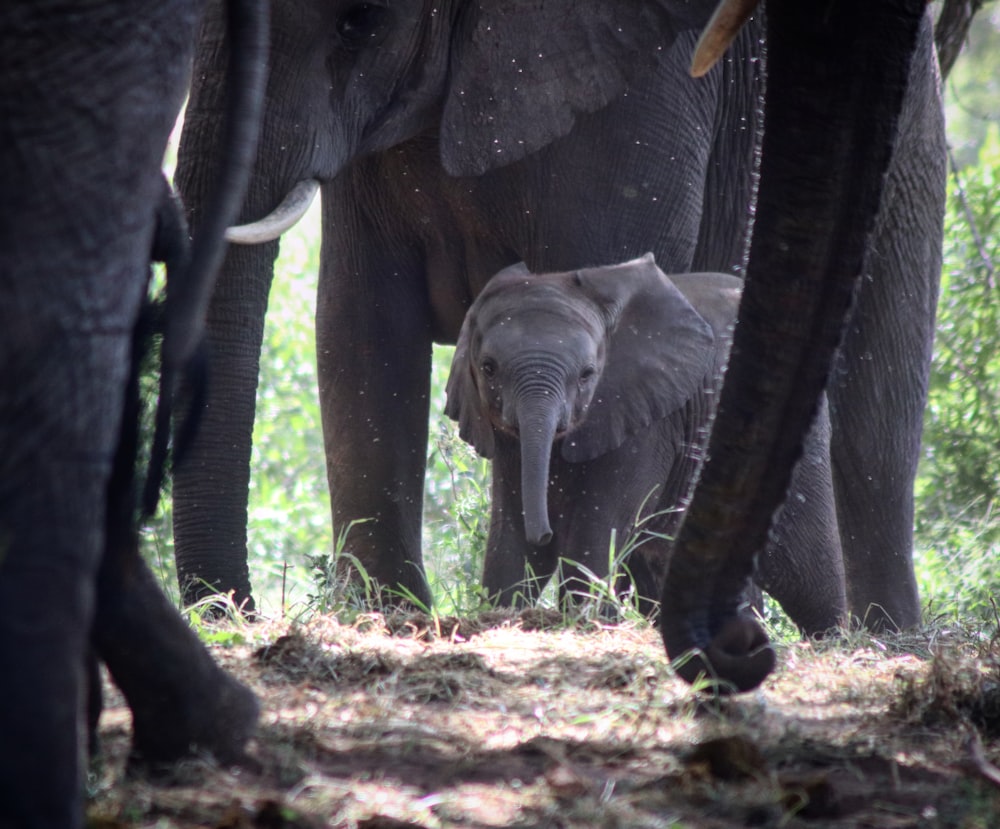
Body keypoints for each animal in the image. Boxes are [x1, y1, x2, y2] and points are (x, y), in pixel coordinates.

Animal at [450, 254, 848, 632]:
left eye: (587, 375)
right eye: (488, 368)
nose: (545, 534)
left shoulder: (648, 423)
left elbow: (595, 530)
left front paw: (585, 621)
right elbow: (508, 536)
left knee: (806, 573)